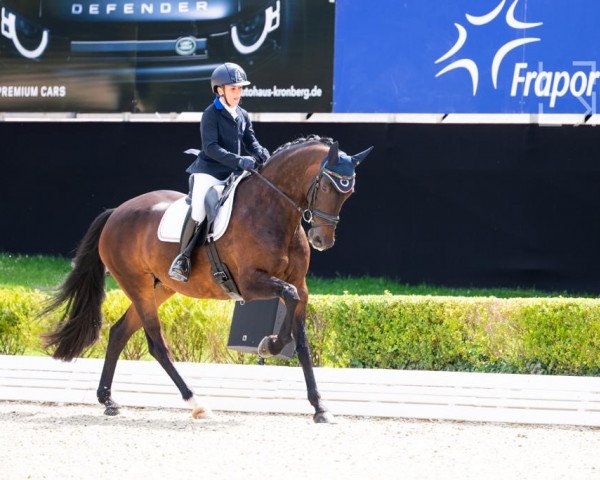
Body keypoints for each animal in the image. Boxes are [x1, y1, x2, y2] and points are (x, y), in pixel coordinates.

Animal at [42, 133, 370, 422]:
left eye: (349, 193)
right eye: (326, 188)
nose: (321, 240)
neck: (273, 211)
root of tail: (115, 212)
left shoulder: (301, 287)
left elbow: (302, 341)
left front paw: (320, 407)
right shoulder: (251, 283)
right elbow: (286, 299)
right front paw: (270, 345)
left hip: (160, 288)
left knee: (120, 332)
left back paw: (108, 400)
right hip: (137, 285)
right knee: (156, 344)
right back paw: (196, 403)